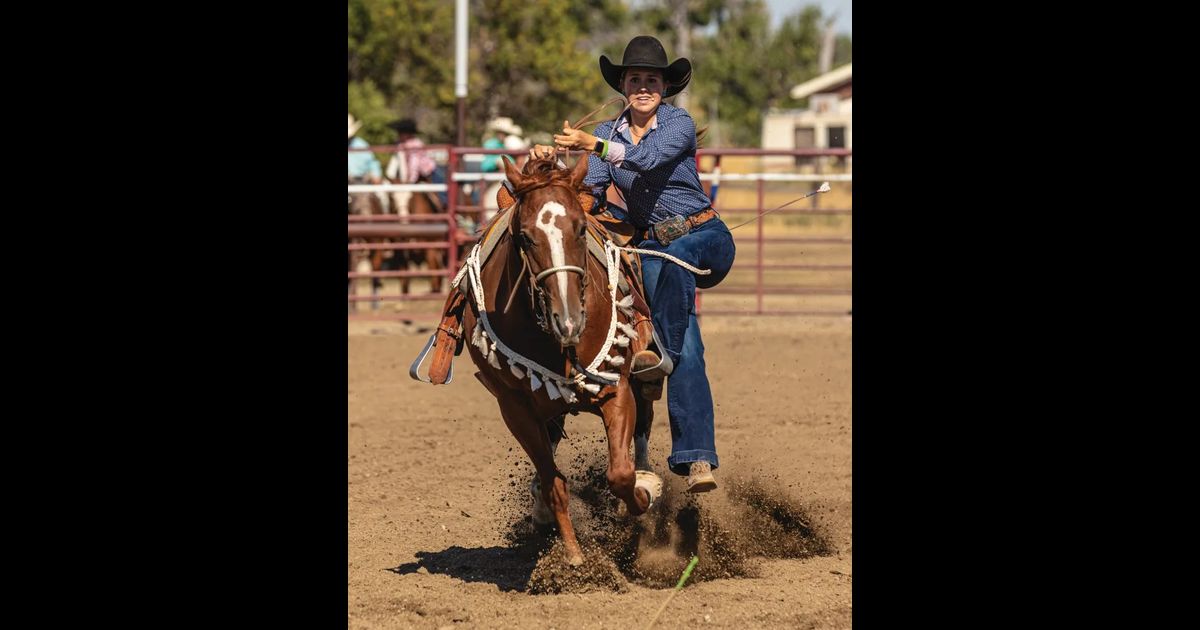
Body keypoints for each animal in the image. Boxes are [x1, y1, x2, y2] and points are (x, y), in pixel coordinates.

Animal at [463, 153, 662, 564]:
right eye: (525, 236)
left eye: (581, 230)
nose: (568, 321)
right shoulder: (516, 408)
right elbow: (555, 483)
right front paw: (573, 558)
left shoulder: (616, 389)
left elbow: (621, 474)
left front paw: (643, 497)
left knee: (643, 426)